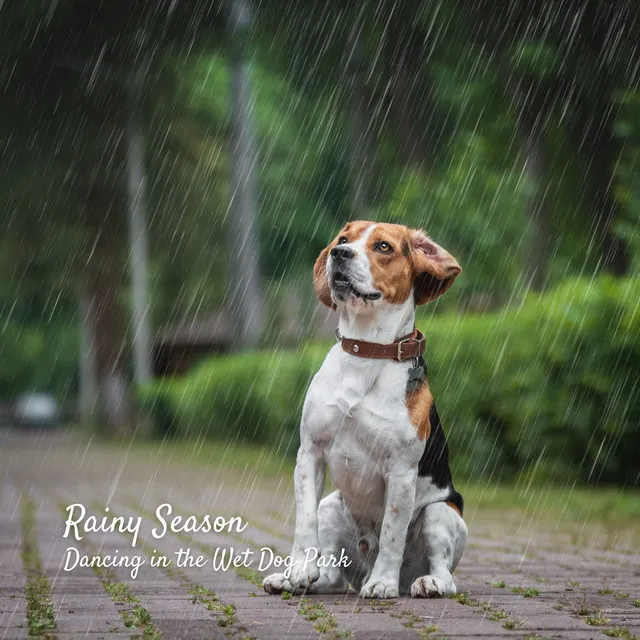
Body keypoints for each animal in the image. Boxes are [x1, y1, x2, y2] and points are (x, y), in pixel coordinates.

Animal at [262, 221, 468, 600]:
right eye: (344, 239)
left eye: (384, 246)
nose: (339, 253)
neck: (366, 350)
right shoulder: (309, 452)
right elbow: (303, 522)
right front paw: (298, 570)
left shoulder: (401, 471)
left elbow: (391, 532)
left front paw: (382, 584)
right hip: (332, 506)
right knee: (330, 575)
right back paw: (297, 580)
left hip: (439, 513)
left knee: (444, 574)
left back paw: (420, 582)